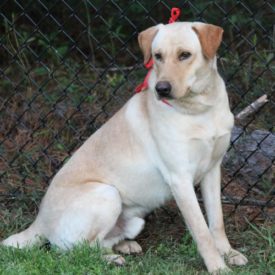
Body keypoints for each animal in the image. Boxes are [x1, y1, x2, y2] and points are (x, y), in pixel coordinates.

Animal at [2, 22, 248, 274]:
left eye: (184, 55)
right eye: (158, 56)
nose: (162, 88)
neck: (201, 108)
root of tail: (39, 221)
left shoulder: (212, 171)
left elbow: (216, 222)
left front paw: (229, 253)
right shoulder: (180, 179)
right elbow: (201, 231)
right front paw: (217, 267)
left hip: (132, 217)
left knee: (99, 242)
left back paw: (124, 246)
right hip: (107, 194)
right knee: (76, 250)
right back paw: (111, 259)